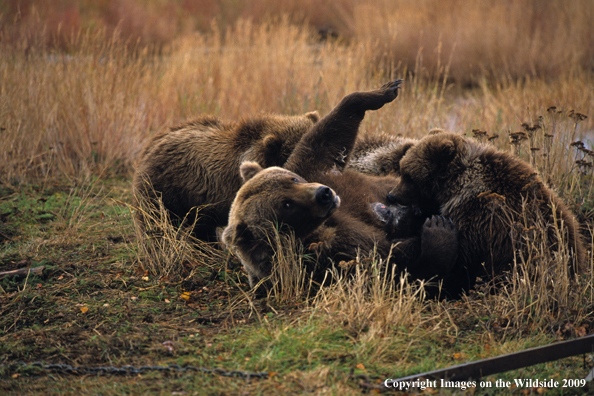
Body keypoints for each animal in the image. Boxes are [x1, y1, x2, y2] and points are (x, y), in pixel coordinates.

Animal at [220, 80, 456, 290]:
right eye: (286, 205)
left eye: (292, 179)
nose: (324, 194)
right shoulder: (330, 253)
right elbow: (395, 265)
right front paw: (438, 231)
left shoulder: (320, 173)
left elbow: (325, 141)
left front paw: (382, 91)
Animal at [386, 131, 584, 296]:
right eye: (403, 170)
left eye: (409, 177)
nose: (391, 195)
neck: (455, 186)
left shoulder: (480, 221)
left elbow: (462, 264)